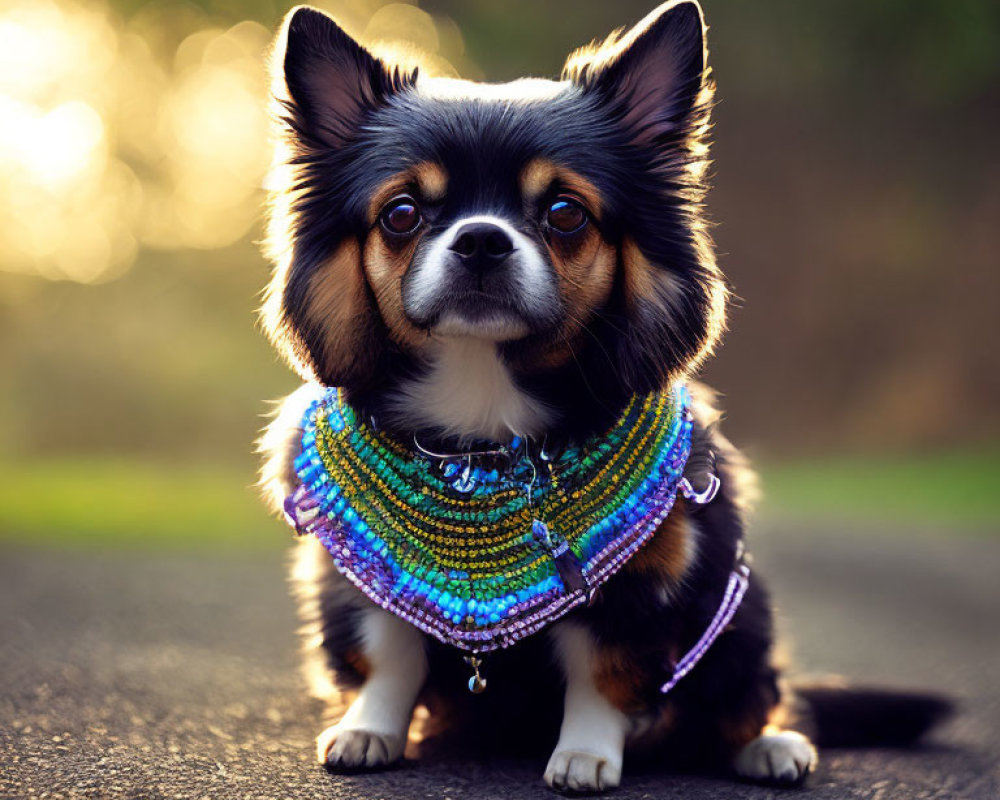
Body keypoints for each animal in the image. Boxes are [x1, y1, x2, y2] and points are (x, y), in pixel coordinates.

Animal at [256, 1, 944, 792]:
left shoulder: (646, 581)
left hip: (743, 614)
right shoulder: (359, 584)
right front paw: (371, 728)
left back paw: (770, 746)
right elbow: (391, 653)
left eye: (565, 213)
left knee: (753, 696)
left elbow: (602, 675)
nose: (482, 240)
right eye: (400, 214)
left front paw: (584, 754)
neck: (484, 400)